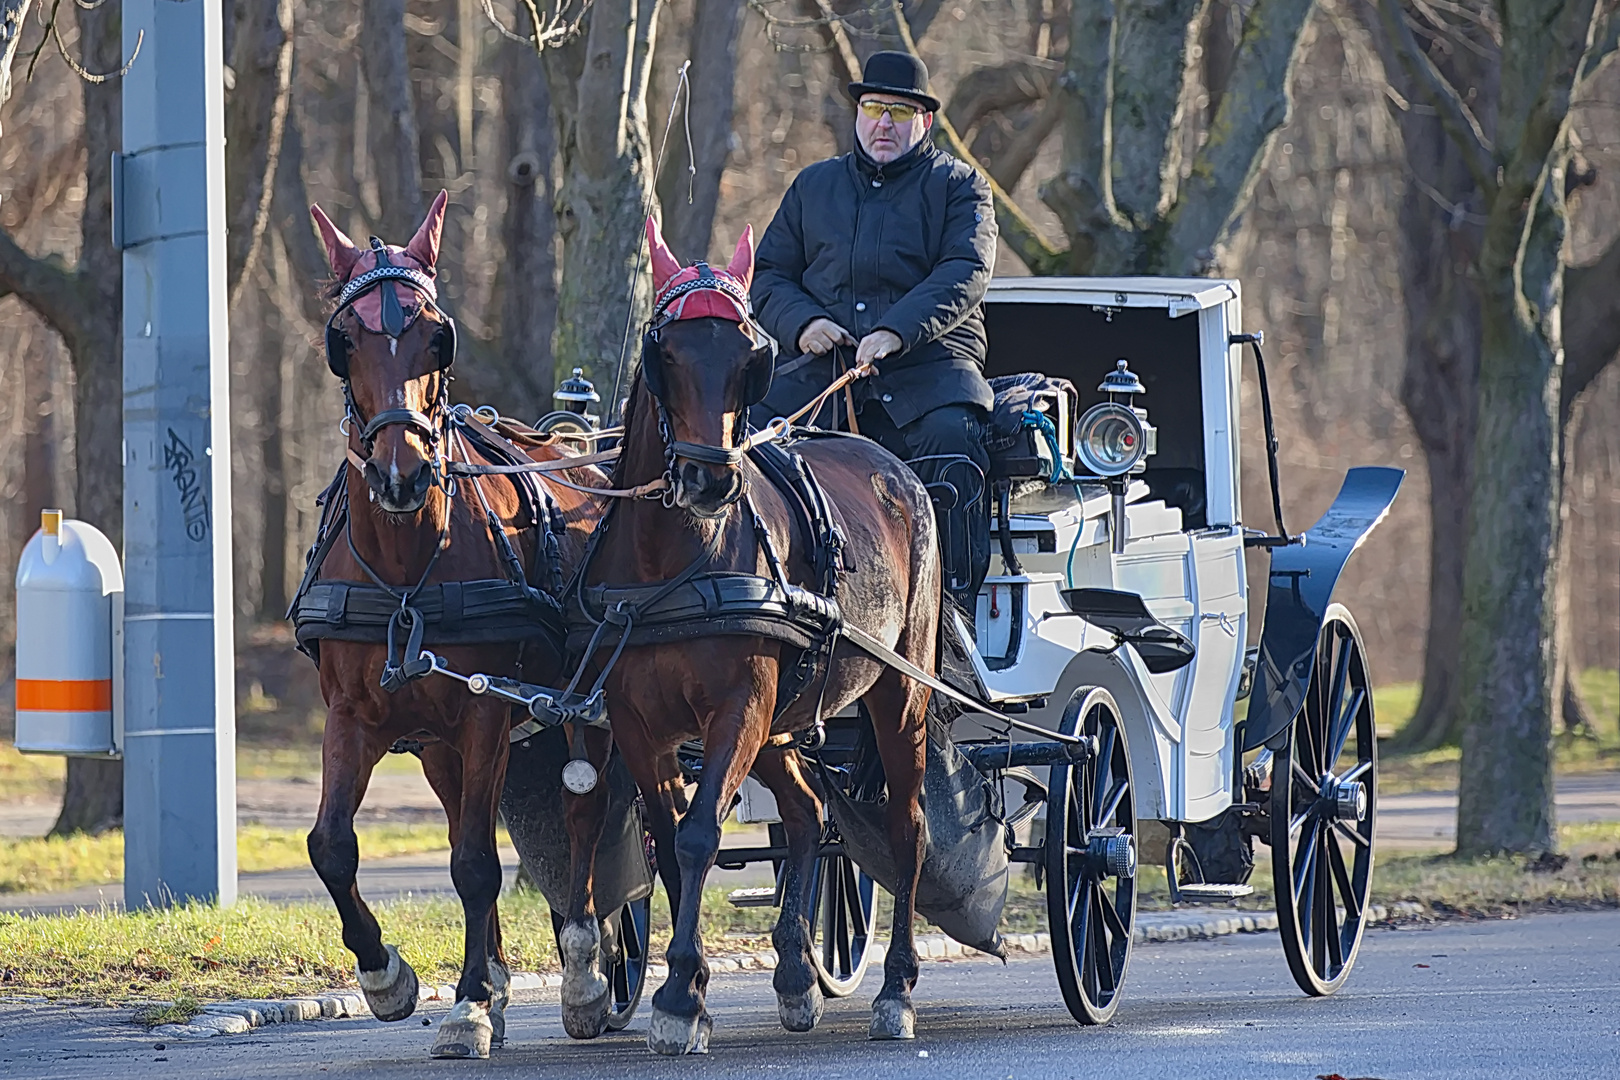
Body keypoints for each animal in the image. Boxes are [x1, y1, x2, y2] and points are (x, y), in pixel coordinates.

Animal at [298, 194, 609, 1055]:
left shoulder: (485, 714)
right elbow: (332, 845)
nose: (401, 475)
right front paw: (386, 976)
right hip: (440, 743)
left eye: (436, 334)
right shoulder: (353, 715)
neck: (409, 566)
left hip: (583, 707)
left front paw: (467, 1005)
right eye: (344, 341)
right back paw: (502, 982)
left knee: (583, 815)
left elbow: (475, 863)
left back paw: (584, 972)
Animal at [579, 220, 939, 1055]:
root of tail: (890, 464)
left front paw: (681, 996)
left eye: (751, 356)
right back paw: (797, 974)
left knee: (907, 827)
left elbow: (699, 836)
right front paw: (691, 987)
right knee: (806, 815)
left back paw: (896, 990)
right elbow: (669, 842)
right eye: (664, 350)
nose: (712, 480)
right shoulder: (640, 726)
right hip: (782, 722)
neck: (675, 561)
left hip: (897, 692)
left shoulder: (737, 707)